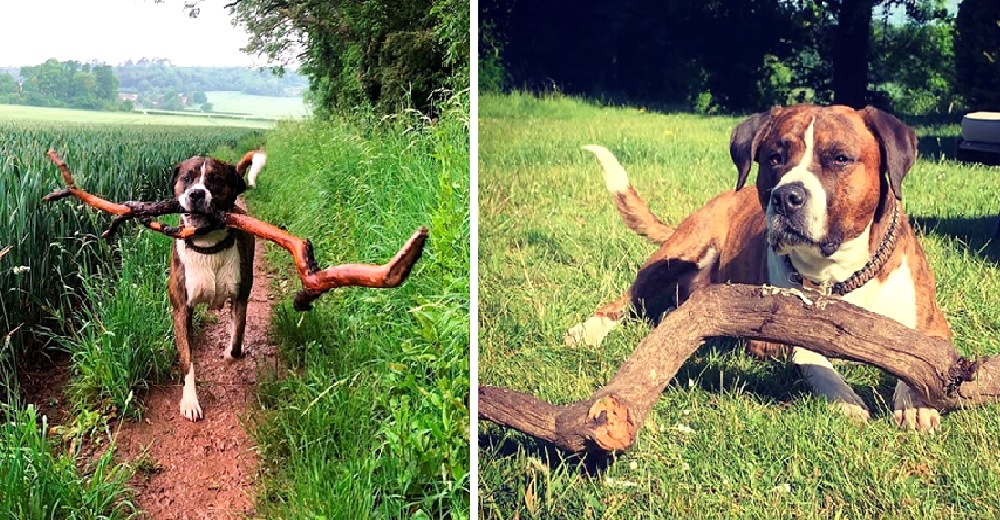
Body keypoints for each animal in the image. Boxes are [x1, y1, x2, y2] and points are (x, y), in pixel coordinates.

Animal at [170, 155, 254, 422]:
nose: (196, 193)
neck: (207, 243)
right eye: (187, 178)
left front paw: (230, 352)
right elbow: (187, 359)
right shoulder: (181, 310)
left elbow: (236, 341)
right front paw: (190, 401)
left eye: (216, 180)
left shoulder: (240, 297)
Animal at [572, 104, 952, 430]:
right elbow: (813, 358)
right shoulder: (774, 338)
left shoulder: (934, 325)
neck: (837, 275)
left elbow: (924, 359)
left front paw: (916, 403)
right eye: (775, 157)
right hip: (681, 252)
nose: (786, 196)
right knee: (627, 299)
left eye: (840, 158)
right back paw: (588, 330)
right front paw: (843, 398)